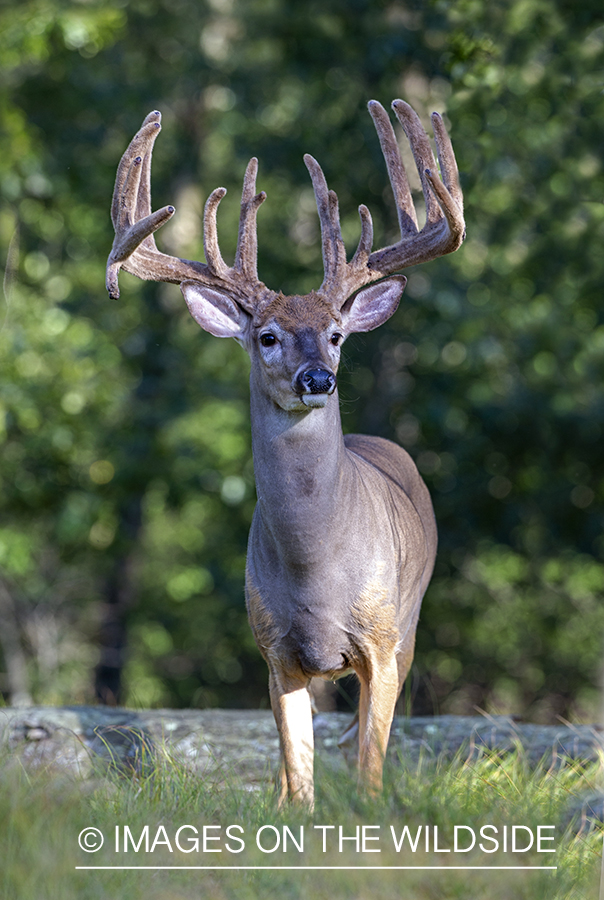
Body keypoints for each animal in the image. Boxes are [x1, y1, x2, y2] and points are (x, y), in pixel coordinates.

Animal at [105, 98, 462, 808]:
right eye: (267, 336)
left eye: (336, 334)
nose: (317, 379)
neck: (315, 571)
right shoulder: (276, 650)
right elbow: (299, 777)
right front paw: (293, 816)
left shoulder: (381, 641)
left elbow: (369, 766)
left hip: (409, 624)